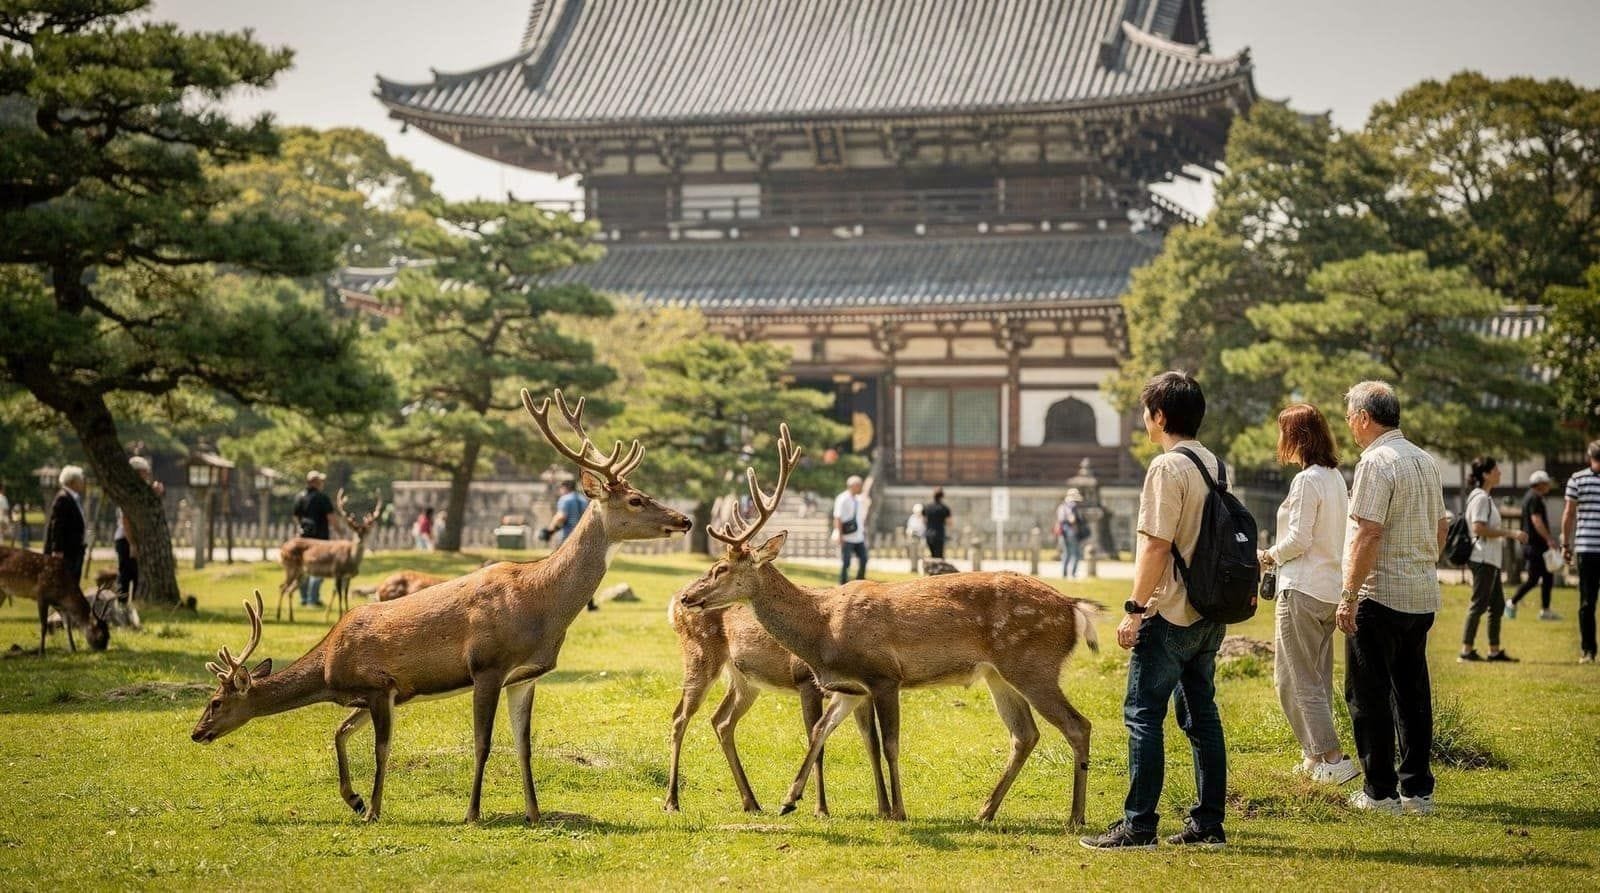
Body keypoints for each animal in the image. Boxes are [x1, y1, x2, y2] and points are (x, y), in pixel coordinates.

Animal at [274, 490, 383, 622]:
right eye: (354, 530)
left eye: (366, 531)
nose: (360, 540)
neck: (350, 562)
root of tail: (282, 548)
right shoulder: (337, 572)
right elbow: (340, 595)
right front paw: (340, 615)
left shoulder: (348, 576)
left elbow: (345, 595)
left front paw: (347, 612)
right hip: (290, 567)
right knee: (282, 587)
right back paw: (278, 615)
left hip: (301, 573)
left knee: (290, 590)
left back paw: (291, 617)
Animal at [665, 589, 887, 816]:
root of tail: (675, 603)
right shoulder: (806, 682)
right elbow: (818, 744)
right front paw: (820, 809)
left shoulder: (862, 693)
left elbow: (872, 744)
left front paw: (884, 808)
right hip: (700, 656)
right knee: (679, 716)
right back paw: (672, 802)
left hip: (746, 681)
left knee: (721, 719)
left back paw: (751, 803)